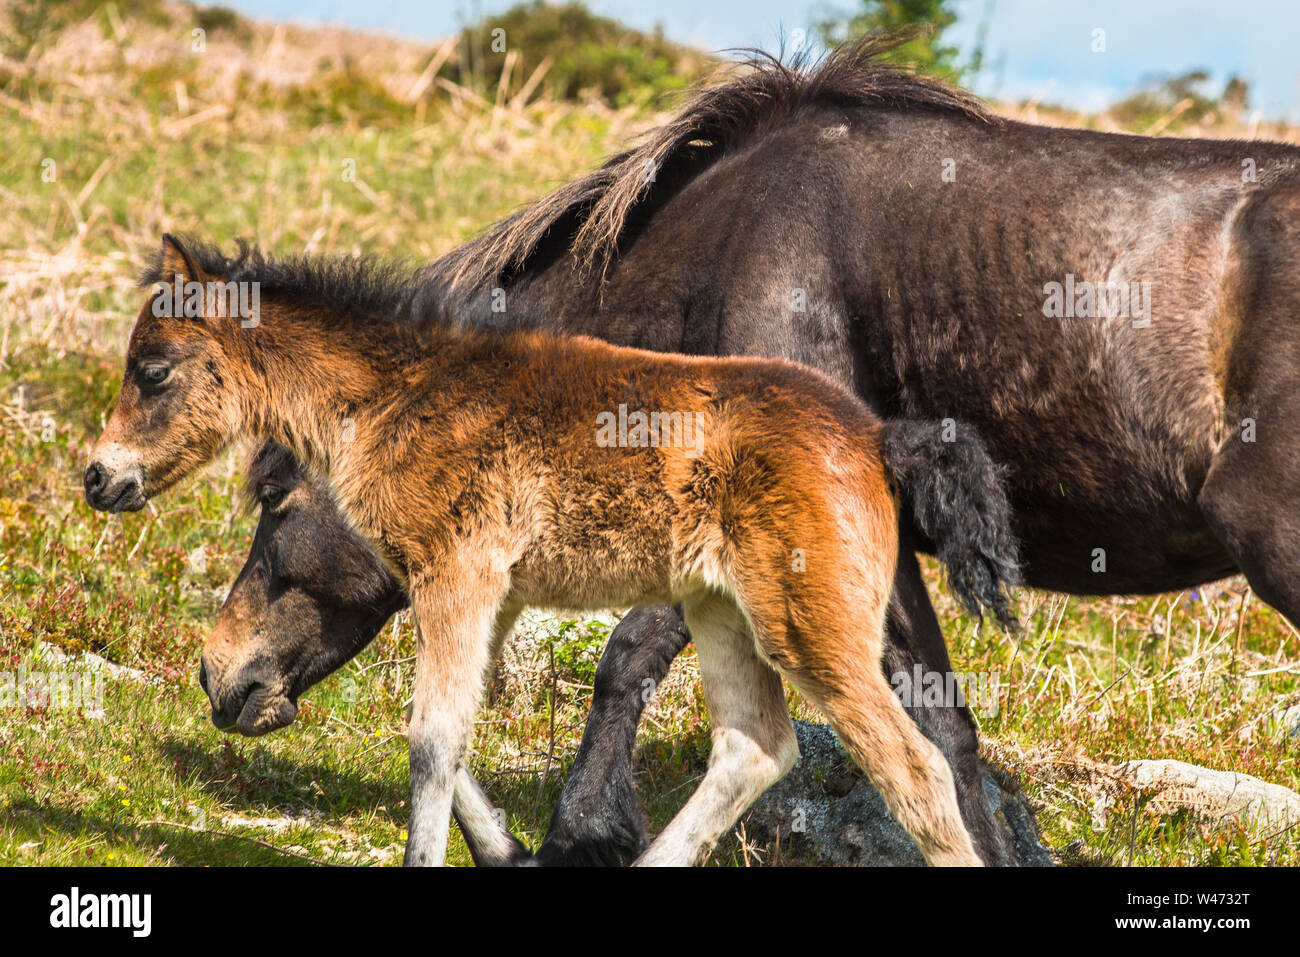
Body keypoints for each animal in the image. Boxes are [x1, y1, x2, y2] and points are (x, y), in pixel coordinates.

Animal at [84, 235, 1020, 866]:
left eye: (154, 370)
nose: (99, 477)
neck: (402, 396)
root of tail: (876, 438)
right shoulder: (490, 595)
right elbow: (452, 732)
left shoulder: (458, 577)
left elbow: (430, 740)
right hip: (720, 610)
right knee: (754, 747)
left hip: (811, 630)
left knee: (918, 772)